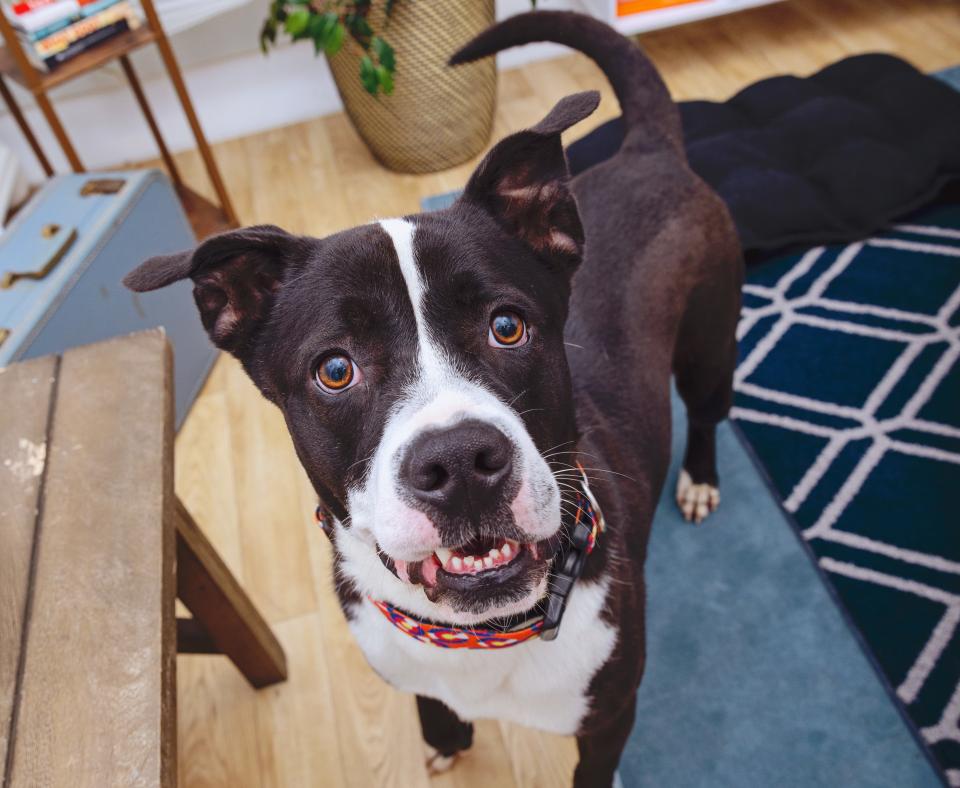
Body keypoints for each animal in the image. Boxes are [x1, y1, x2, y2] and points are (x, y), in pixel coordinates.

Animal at [125, 12, 744, 788]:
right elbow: (428, 698)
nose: (459, 462)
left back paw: (699, 478)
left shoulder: (608, 722)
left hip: (709, 341)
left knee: (708, 411)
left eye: (507, 325)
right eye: (335, 369)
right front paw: (445, 732)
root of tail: (647, 149)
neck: (482, 637)